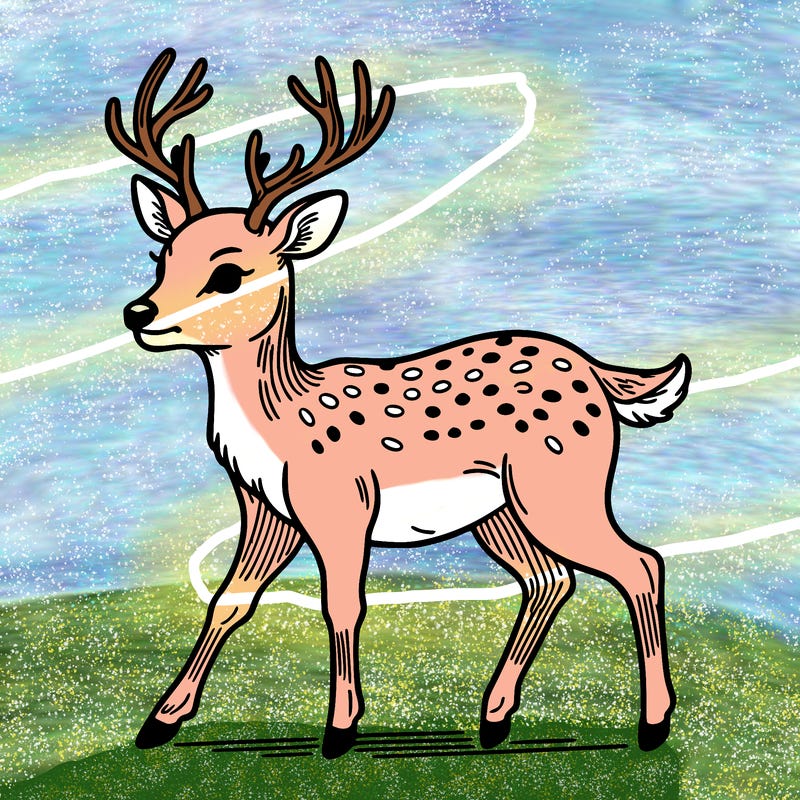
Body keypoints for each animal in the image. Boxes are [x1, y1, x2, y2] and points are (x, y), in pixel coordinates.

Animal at [107, 49, 689, 759]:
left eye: (228, 273)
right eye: (161, 253)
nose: (139, 313)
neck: (279, 422)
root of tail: (599, 375)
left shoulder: (341, 501)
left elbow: (342, 603)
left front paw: (339, 730)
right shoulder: (266, 509)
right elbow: (229, 600)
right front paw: (158, 722)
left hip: (560, 483)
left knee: (640, 564)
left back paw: (653, 725)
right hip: (500, 511)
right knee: (551, 580)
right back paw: (494, 719)